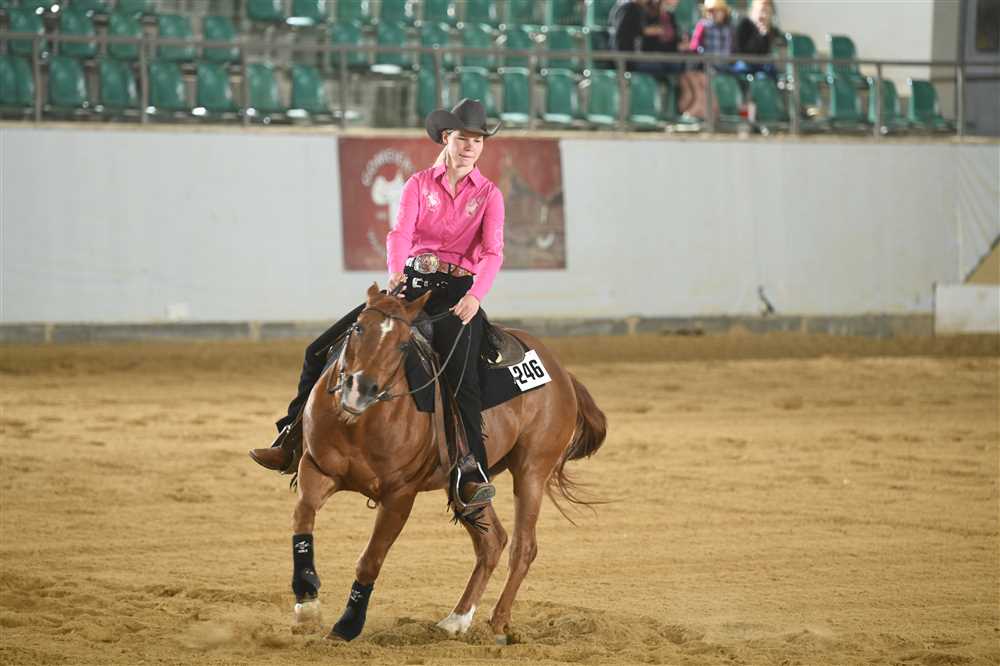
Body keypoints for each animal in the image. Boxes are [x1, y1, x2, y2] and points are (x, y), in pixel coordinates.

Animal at [289, 284, 607, 644]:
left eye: (402, 344)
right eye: (357, 328)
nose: (361, 388)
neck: (360, 423)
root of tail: (563, 374)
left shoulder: (399, 496)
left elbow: (371, 559)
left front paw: (348, 624)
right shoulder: (316, 468)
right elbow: (302, 518)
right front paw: (307, 601)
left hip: (532, 471)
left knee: (523, 547)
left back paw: (498, 623)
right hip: (469, 486)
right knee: (492, 542)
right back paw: (456, 620)